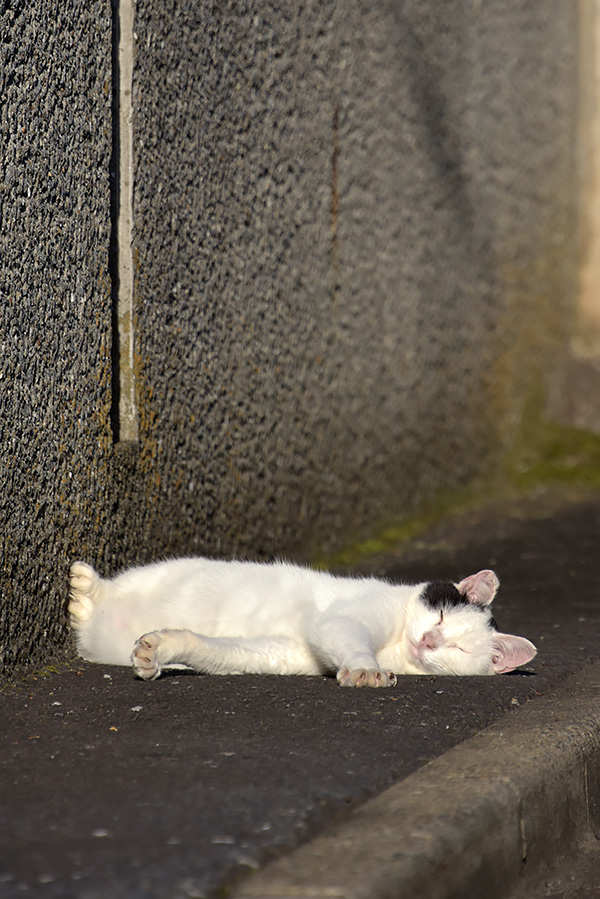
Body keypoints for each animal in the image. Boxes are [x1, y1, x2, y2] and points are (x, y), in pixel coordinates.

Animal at [68, 556, 536, 688]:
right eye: (439, 614)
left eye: (458, 647)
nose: (430, 640)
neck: (396, 647)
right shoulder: (344, 621)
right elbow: (350, 640)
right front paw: (365, 670)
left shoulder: (281, 652)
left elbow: (213, 650)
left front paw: (162, 649)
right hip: (156, 572)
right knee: (106, 589)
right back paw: (85, 593)